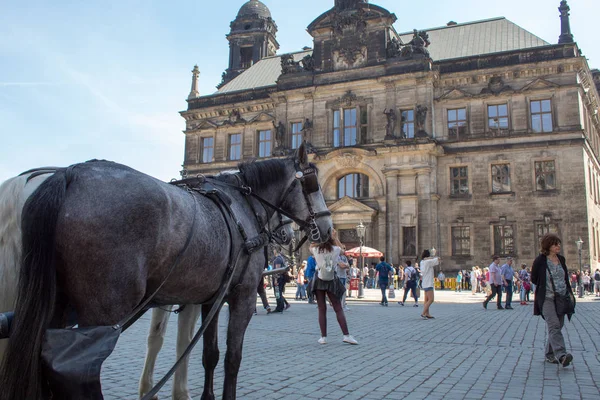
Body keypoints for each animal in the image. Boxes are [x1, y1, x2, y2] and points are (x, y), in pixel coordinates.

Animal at [138, 212, 292, 400]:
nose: (289, 235)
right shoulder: (192, 300)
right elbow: (182, 341)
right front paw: (180, 392)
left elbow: (157, 337)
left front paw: (148, 389)